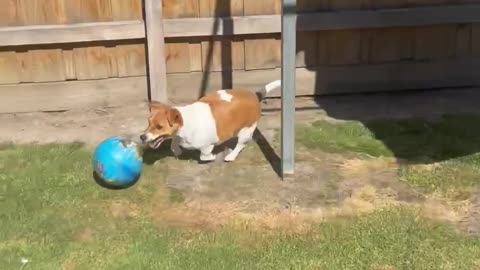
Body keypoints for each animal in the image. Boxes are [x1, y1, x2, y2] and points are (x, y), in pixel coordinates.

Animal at [140, 79, 282, 161]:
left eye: (159, 127)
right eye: (148, 123)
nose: (142, 137)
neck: (186, 124)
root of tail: (255, 96)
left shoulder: (207, 145)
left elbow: (204, 156)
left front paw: (212, 156)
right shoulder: (178, 136)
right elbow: (174, 144)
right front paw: (177, 150)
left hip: (246, 130)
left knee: (241, 144)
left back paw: (231, 156)